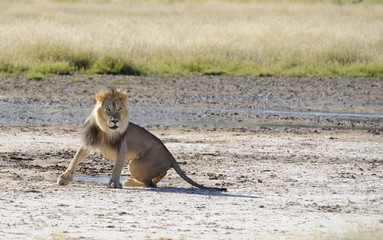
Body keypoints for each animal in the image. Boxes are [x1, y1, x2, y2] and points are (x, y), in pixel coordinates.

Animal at [57, 86, 228, 191]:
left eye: (119, 109)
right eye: (108, 109)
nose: (115, 120)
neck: (106, 130)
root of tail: (171, 156)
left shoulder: (122, 147)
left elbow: (117, 167)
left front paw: (114, 183)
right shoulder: (90, 141)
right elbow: (76, 158)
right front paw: (64, 179)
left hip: (135, 165)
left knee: (151, 183)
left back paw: (129, 182)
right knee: (156, 179)